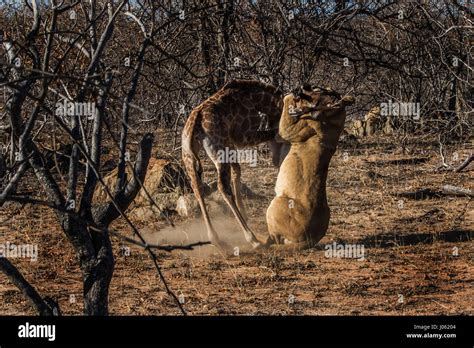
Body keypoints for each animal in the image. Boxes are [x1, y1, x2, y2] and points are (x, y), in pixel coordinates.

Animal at [181, 79, 284, 253]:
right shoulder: (242, 136)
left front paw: (244, 212)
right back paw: (252, 239)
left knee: (197, 188)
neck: (256, 99)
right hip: (218, 152)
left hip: (188, 156)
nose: (276, 160)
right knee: (222, 187)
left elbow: (237, 170)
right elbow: (270, 132)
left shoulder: (230, 142)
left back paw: (217, 240)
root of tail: (195, 123)